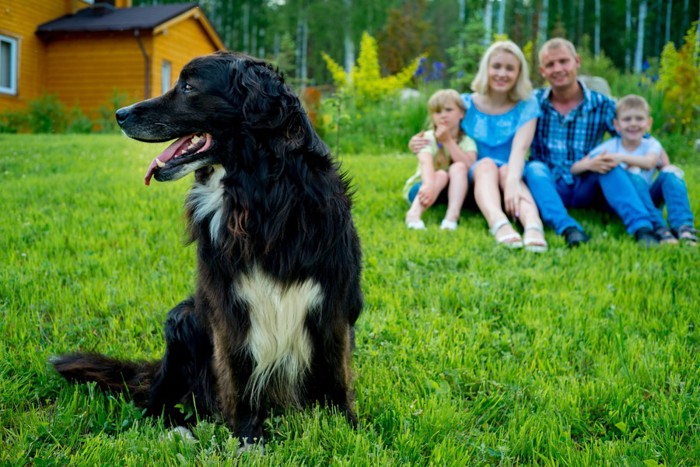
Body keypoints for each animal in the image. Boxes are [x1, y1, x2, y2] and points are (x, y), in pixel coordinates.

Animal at [52, 50, 364, 446]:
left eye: (188, 87)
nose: (120, 114)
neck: (260, 196)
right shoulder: (227, 306)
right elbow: (237, 376)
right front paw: (248, 438)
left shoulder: (334, 300)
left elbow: (338, 375)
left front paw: (348, 430)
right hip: (182, 320)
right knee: (156, 401)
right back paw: (178, 428)